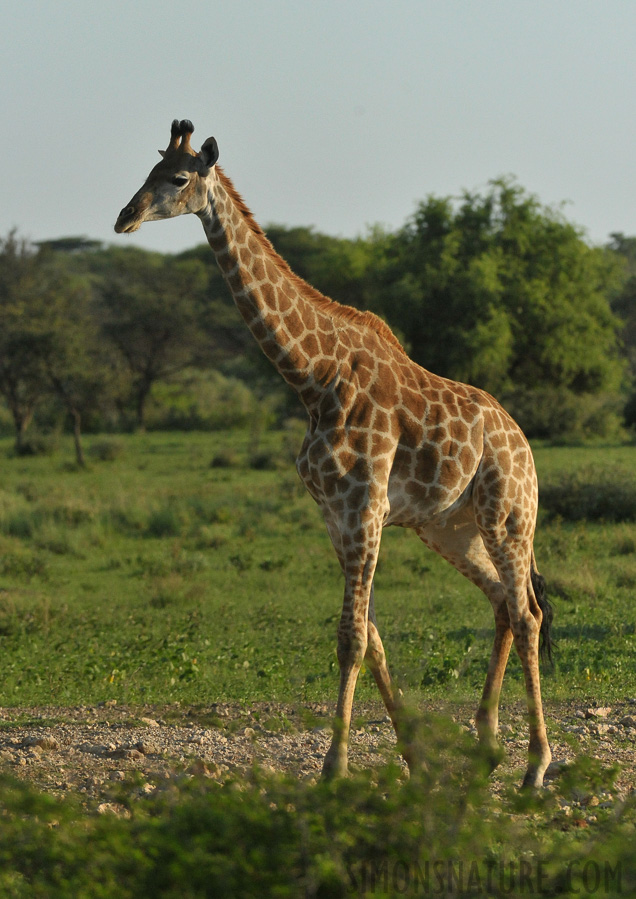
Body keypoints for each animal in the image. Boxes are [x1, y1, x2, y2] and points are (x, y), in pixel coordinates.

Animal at [117, 119, 556, 788]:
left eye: (178, 177)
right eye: (148, 170)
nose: (125, 217)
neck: (312, 378)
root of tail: (523, 441)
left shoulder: (363, 508)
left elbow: (350, 636)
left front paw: (335, 768)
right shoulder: (333, 514)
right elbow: (371, 637)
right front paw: (414, 759)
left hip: (509, 515)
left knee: (529, 614)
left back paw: (535, 767)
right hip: (449, 527)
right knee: (506, 605)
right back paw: (486, 749)